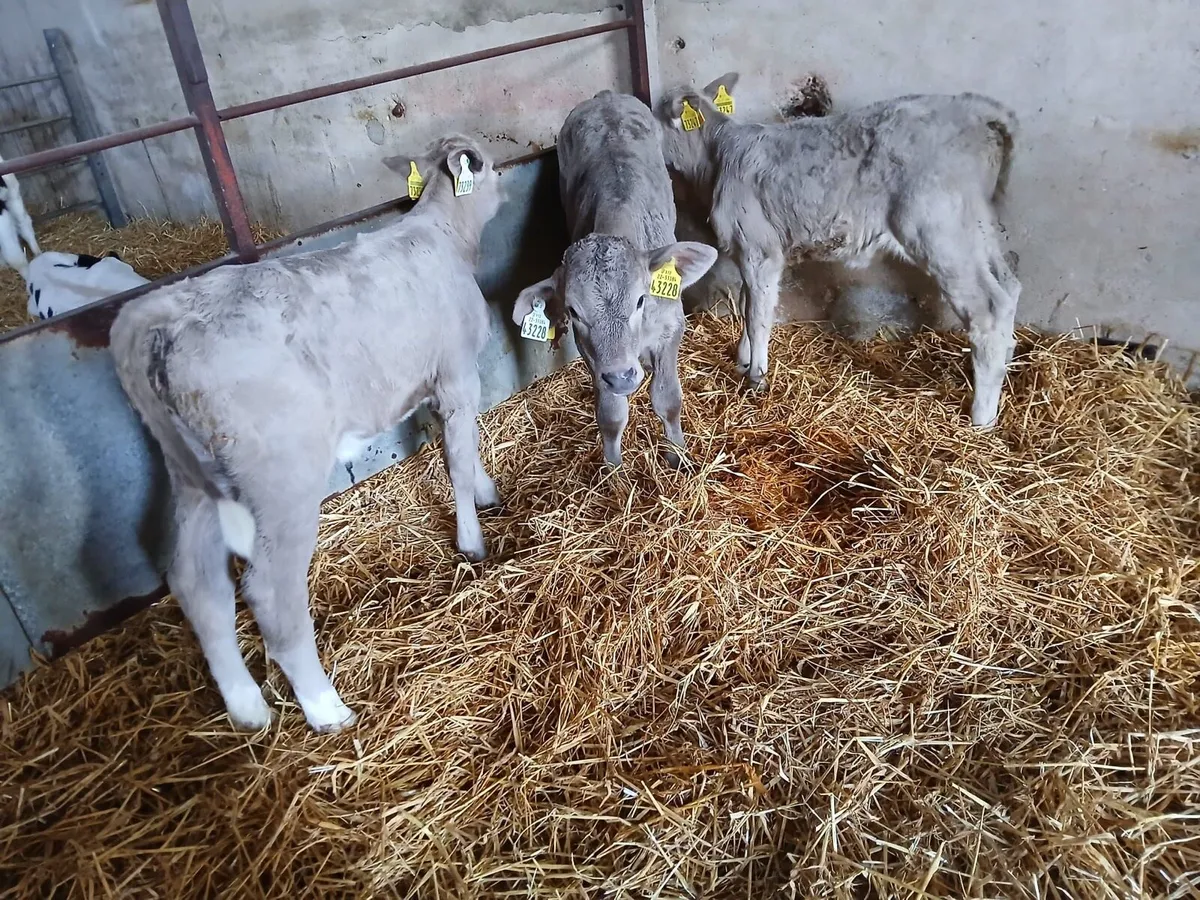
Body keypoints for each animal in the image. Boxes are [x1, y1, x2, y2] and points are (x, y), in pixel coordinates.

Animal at [110, 135, 505, 733]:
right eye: (490, 163)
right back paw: (326, 708)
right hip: (280, 479)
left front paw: (484, 491)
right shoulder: (457, 372)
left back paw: (247, 707)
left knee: (196, 582)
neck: (444, 232)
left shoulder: (435, 383)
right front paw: (472, 539)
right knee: (271, 594)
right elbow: (457, 458)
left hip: (190, 472)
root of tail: (162, 311)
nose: (505, 183)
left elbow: (457, 443)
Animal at [513, 91, 717, 467]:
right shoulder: (592, 356)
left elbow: (668, 399)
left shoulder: (671, 328)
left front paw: (678, 456)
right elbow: (610, 413)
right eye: (574, 311)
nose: (622, 375)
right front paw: (613, 468)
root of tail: (606, 97)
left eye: (640, 300)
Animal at [655, 72, 1021, 428]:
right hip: (976, 225)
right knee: (1009, 287)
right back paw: (1006, 359)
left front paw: (756, 377)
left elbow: (757, 313)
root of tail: (974, 108)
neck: (719, 157)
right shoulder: (755, 251)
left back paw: (982, 417)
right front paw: (744, 361)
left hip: (938, 229)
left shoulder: (760, 248)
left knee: (988, 310)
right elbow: (750, 305)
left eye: (653, 115)